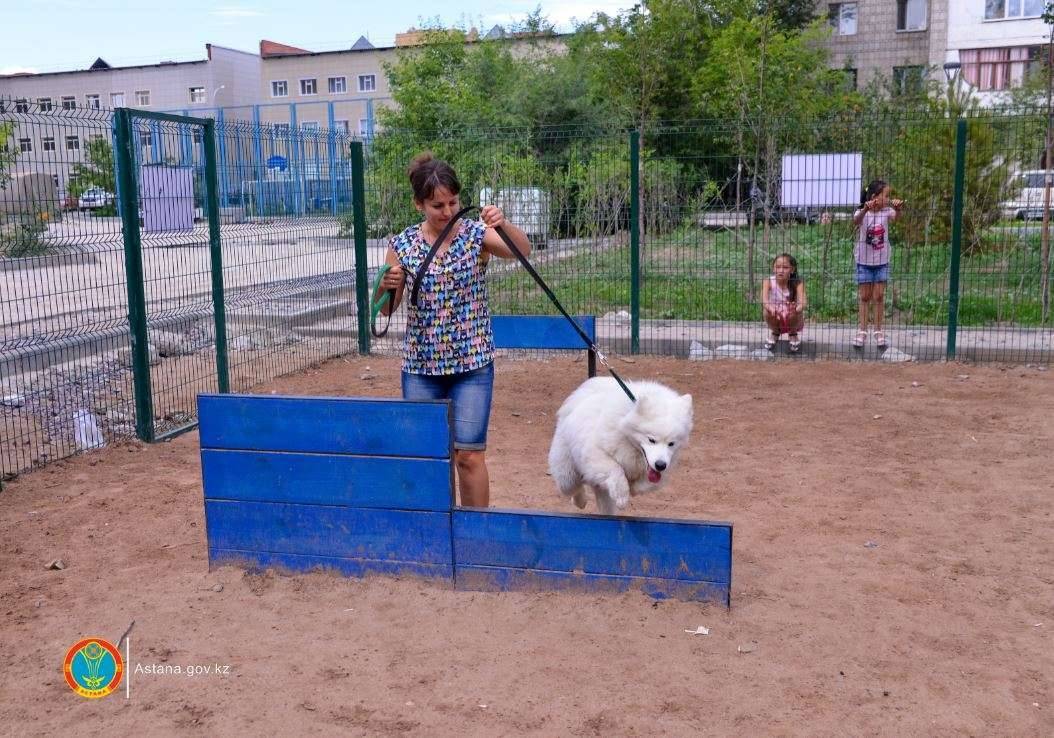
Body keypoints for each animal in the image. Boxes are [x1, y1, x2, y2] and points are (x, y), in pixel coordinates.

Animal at [548, 377, 695, 516]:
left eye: (671, 443)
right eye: (651, 440)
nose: (660, 465)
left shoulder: (663, 469)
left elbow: (647, 484)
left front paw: (634, 488)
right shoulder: (595, 452)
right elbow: (616, 470)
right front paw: (622, 496)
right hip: (567, 475)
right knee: (573, 488)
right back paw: (580, 501)